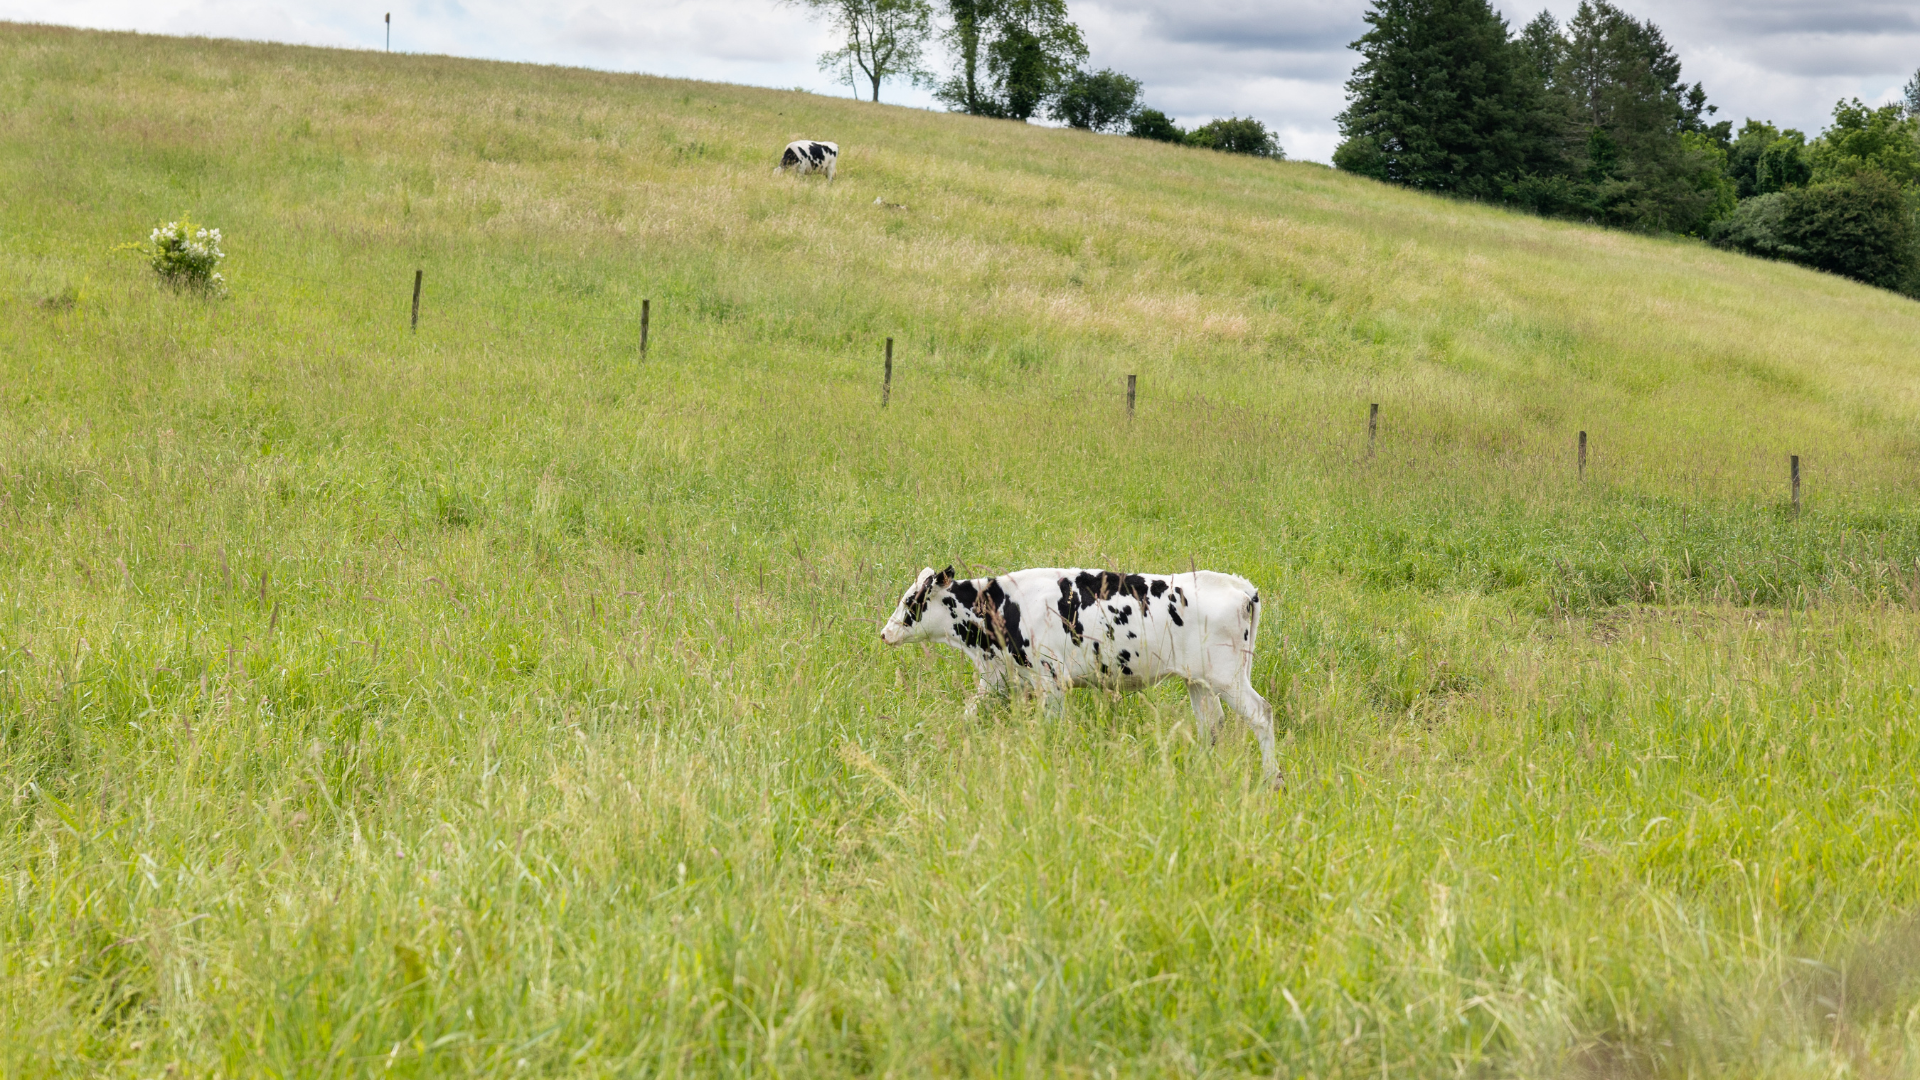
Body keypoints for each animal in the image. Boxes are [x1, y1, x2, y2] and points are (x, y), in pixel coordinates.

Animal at [879, 564, 1274, 780]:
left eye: (910, 600)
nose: (885, 633)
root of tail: (1241, 587)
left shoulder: (1052, 680)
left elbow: (1050, 731)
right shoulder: (998, 680)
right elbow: (966, 716)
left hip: (1228, 678)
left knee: (1261, 714)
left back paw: (1274, 782)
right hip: (1199, 681)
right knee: (1211, 723)